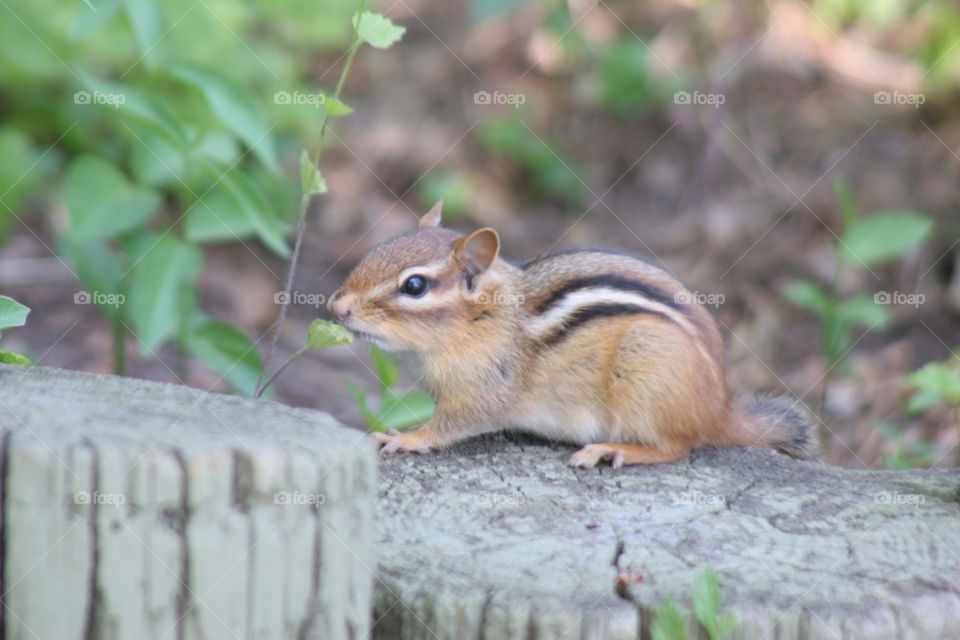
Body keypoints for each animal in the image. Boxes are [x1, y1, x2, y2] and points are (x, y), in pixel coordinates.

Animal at [328, 202, 820, 468]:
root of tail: (720, 407)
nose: (336, 307)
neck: (485, 319)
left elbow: (448, 426)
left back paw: (611, 450)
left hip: (646, 374)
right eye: (379, 249)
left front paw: (404, 438)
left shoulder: (482, 391)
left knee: (678, 447)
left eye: (414, 285)